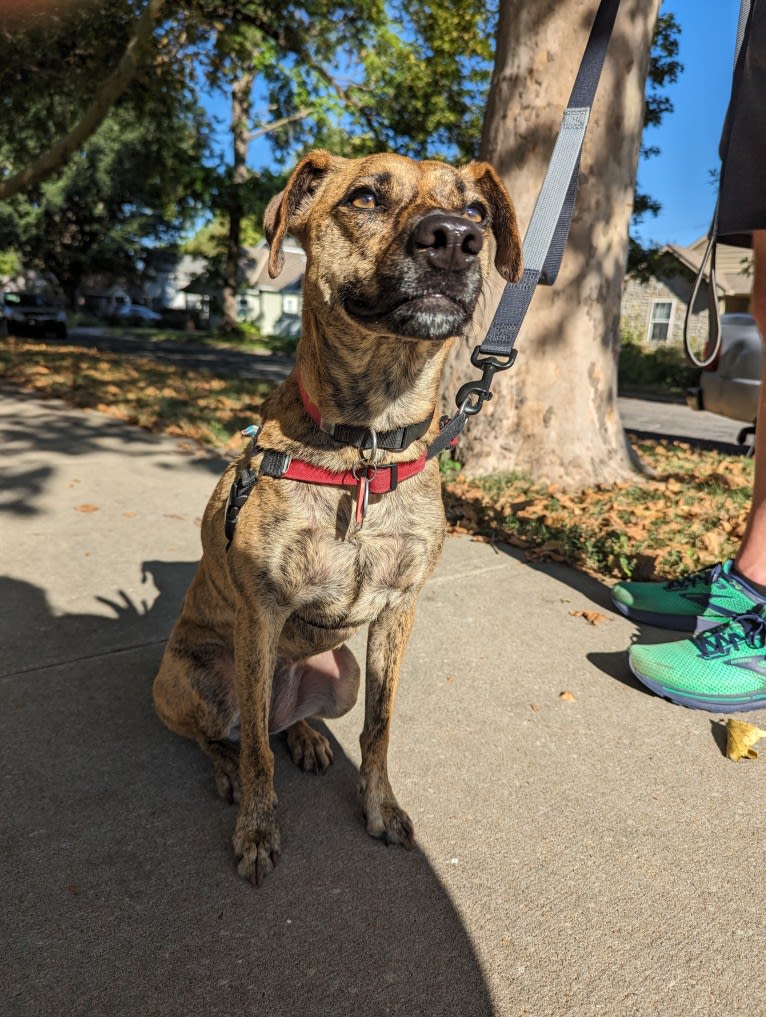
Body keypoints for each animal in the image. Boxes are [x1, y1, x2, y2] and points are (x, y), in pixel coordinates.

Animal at [153, 148, 520, 882]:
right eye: (366, 197)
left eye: (476, 210)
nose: (455, 240)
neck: (366, 443)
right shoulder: (261, 611)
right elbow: (257, 755)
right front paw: (257, 829)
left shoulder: (399, 608)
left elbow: (379, 727)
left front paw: (380, 807)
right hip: (184, 678)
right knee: (231, 733)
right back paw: (229, 767)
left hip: (338, 672)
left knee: (275, 721)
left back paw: (306, 735)